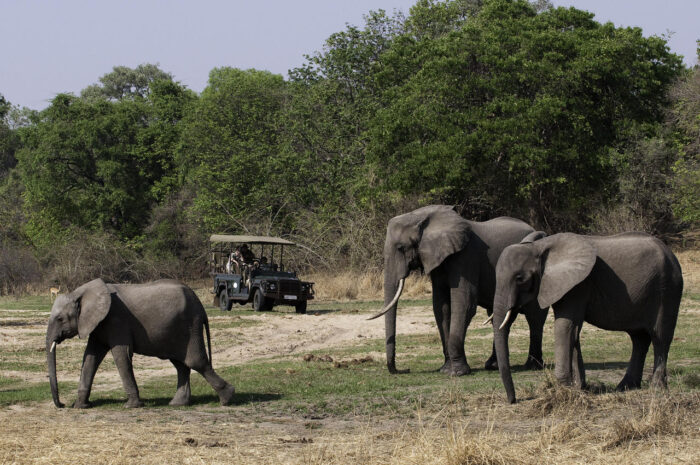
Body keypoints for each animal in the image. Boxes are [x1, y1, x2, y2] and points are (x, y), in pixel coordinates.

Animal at [48, 280, 238, 406]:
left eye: (60, 319)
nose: (63, 405)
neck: (80, 293)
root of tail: (201, 306)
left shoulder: (116, 321)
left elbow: (121, 355)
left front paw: (132, 406)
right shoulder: (97, 324)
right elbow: (90, 357)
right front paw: (80, 406)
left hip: (190, 326)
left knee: (196, 362)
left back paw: (227, 399)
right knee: (181, 365)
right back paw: (177, 404)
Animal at [370, 205, 548, 376]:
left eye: (401, 247)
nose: (404, 370)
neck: (424, 216)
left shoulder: (465, 258)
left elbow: (464, 304)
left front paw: (457, 373)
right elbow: (441, 307)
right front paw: (445, 370)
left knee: (535, 317)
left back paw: (532, 366)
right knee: (501, 318)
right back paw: (493, 366)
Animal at [492, 232, 684, 402]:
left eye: (520, 278)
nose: (513, 400)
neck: (538, 247)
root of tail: (671, 253)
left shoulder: (578, 285)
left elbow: (564, 326)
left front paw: (563, 389)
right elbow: (573, 331)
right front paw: (580, 388)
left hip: (667, 290)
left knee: (660, 338)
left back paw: (656, 389)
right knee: (639, 339)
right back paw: (625, 387)